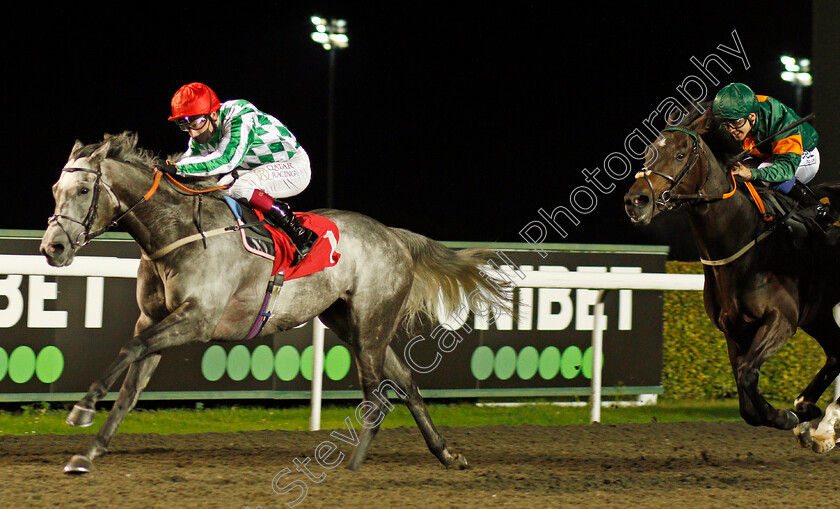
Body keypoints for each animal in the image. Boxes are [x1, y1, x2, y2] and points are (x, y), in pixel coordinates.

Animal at [39, 131, 512, 472]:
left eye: (83, 190)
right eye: (55, 187)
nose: (52, 248)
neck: (177, 232)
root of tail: (393, 235)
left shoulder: (197, 319)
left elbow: (129, 348)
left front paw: (81, 409)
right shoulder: (153, 319)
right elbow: (130, 389)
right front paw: (89, 452)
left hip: (372, 323)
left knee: (377, 397)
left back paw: (353, 466)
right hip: (352, 326)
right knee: (407, 384)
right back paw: (446, 454)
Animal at [620, 110, 840, 448]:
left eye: (680, 155)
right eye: (647, 154)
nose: (636, 201)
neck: (743, 242)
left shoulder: (782, 319)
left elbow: (748, 374)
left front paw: (786, 417)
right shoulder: (735, 329)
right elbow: (745, 397)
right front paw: (799, 417)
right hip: (817, 314)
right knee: (837, 352)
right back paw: (819, 420)